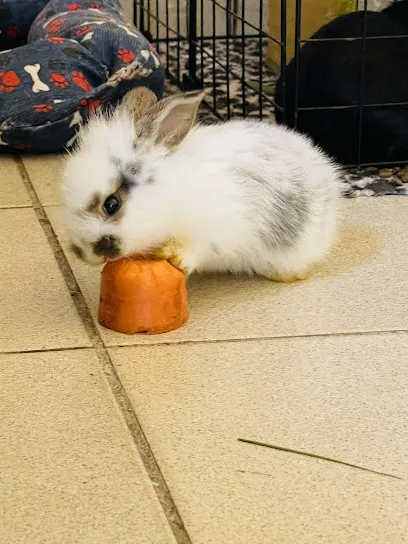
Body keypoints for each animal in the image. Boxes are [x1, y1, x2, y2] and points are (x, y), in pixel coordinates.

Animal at [61, 87, 342, 282]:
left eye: (111, 204)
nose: (82, 252)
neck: (169, 194)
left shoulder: (217, 227)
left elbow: (198, 248)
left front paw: (177, 259)